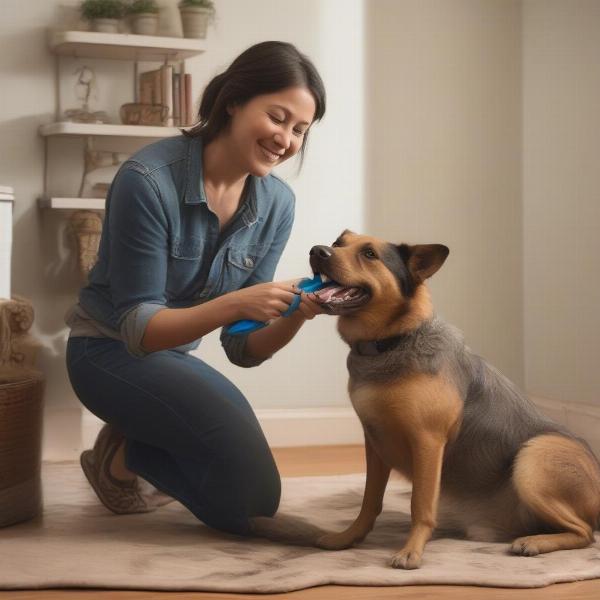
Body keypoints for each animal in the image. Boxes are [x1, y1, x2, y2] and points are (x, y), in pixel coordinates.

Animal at [250, 229, 600, 568]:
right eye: (339, 242)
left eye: (369, 254)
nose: (317, 250)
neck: (390, 342)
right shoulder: (374, 444)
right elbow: (369, 502)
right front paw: (348, 538)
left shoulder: (427, 442)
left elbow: (420, 504)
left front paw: (412, 551)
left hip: (534, 456)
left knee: (584, 533)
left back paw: (534, 543)